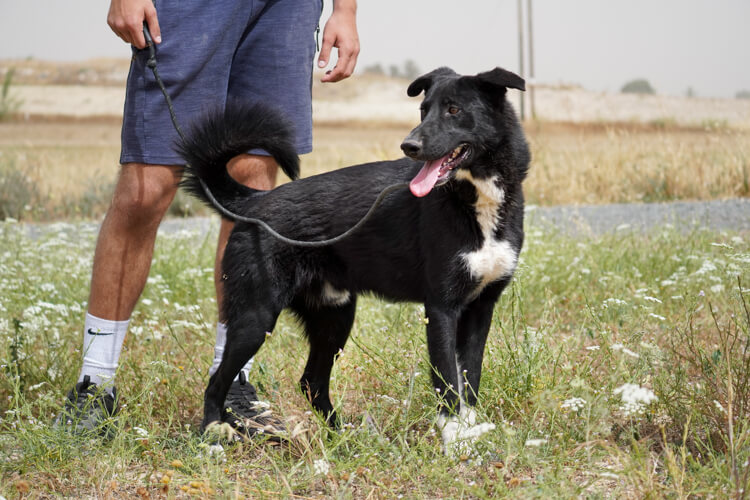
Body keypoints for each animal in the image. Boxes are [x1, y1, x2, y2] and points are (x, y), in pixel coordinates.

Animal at [180, 66, 532, 454]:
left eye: (454, 110)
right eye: (423, 111)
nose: (409, 146)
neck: (474, 197)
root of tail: (254, 202)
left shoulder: (480, 309)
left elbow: (469, 380)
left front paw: (467, 439)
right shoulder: (441, 309)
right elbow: (448, 384)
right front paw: (454, 443)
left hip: (335, 317)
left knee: (311, 382)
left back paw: (345, 438)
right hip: (256, 317)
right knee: (218, 379)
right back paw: (212, 435)